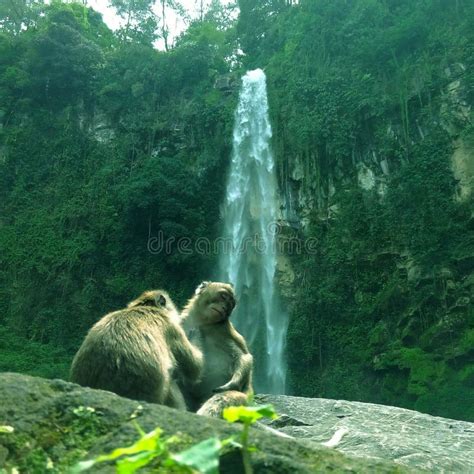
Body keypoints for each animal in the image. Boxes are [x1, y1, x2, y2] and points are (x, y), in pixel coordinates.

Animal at [181, 282, 254, 414]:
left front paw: (232, 384)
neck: (203, 323)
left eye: (230, 305)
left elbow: (244, 357)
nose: (225, 308)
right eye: (223, 296)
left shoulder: (223, 332)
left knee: (223, 398)